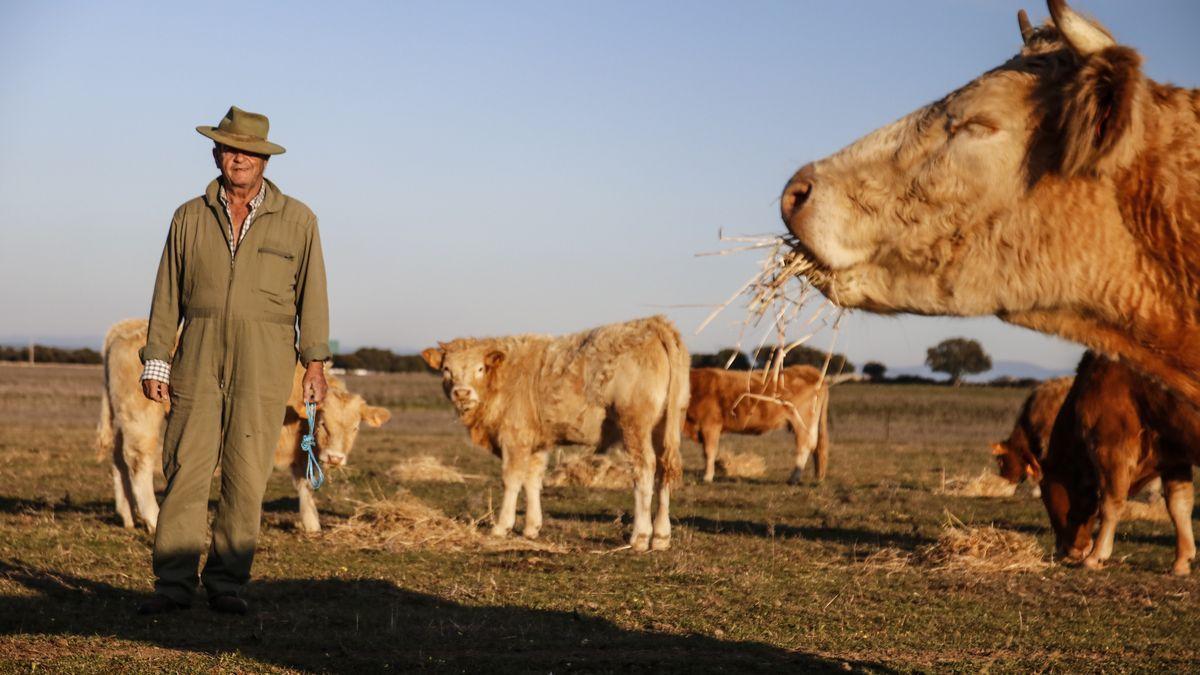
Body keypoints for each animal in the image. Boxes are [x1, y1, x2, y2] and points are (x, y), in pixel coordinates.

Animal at [99, 317, 388, 533]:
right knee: (138, 461)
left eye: (355, 428)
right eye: (324, 423)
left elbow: (303, 482)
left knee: (118, 459)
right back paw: (152, 517)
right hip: (141, 416)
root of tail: (122, 329)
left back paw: (127, 516)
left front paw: (311, 524)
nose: (336, 458)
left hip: (120, 416)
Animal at [422, 312, 691, 550]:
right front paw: (531, 528)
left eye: (479, 369)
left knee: (644, 470)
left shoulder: (514, 437)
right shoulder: (537, 442)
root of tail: (653, 323)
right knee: (664, 472)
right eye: (447, 369)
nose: (461, 393)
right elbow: (533, 479)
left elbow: (512, 479)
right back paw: (661, 537)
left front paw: (501, 527)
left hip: (635, 425)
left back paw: (640, 537)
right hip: (667, 425)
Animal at [686, 367, 835, 482]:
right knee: (815, 446)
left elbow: (709, 452)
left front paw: (707, 477)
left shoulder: (710, 425)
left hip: (802, 422)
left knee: (805, 445)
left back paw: (793, 478)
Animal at [1036, 353, 1195, 571]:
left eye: (1047, 500)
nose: (1068, 550)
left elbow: (1111, 503)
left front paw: (1096, 556)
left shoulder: (1111, 448)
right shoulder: (1175, 454)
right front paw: (1182, 560)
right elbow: (1180, 505)